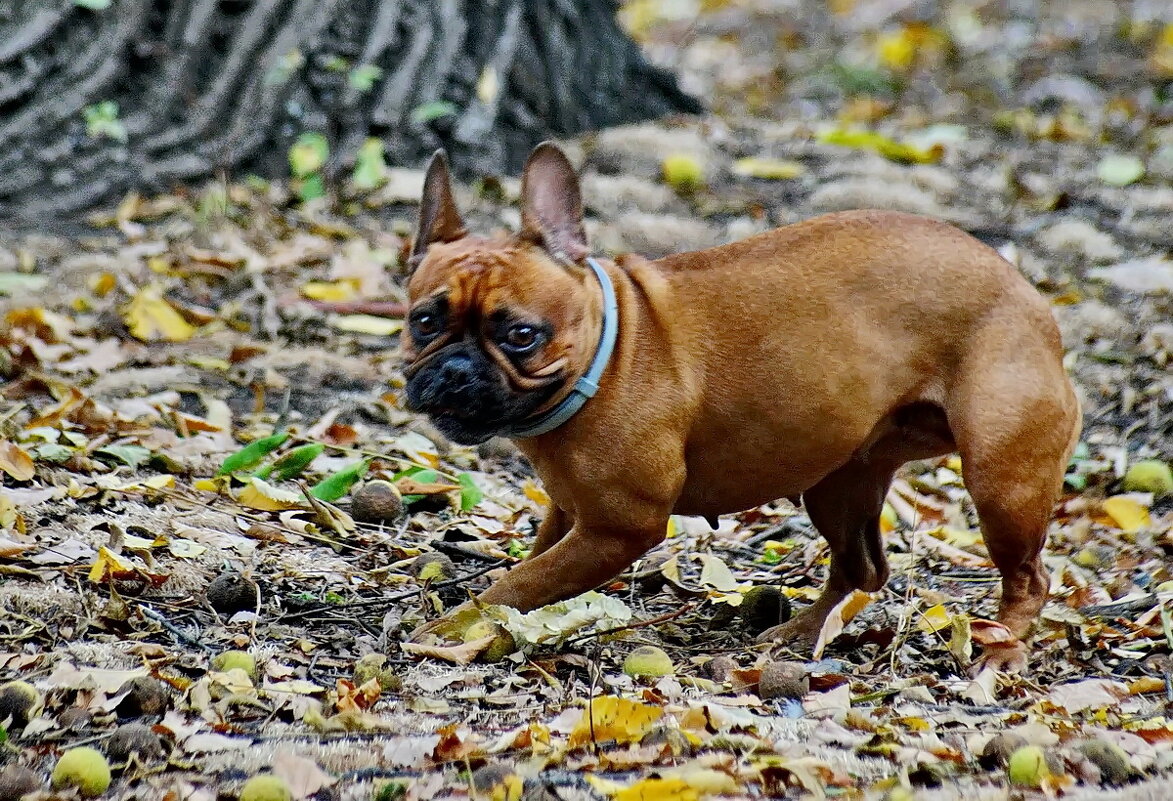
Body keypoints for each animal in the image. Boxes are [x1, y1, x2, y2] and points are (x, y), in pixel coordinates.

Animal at [401, 142, 1079, 670]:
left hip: (1001, 483)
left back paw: (1001, 645)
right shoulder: (570, 514)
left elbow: (516, 586)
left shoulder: (616, 529)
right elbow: (535, 564)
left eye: (522, 334)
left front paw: (450, 629)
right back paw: (801, 634)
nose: (454, 370)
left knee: (1030, 576)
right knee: (860, 570)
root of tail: (1029, 295)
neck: (606, 352)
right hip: (839, 483)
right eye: (423, 320)